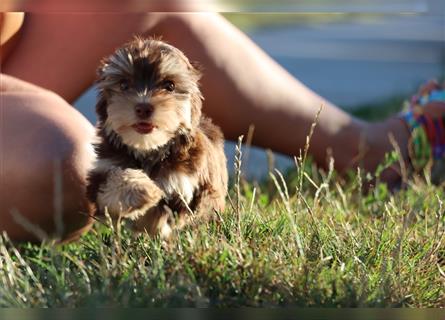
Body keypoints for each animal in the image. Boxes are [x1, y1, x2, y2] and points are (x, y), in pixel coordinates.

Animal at [85, 37, 227, 238]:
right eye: (123, 85)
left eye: (169, 86)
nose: (143, 108)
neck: (150, 149)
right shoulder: (104, 171)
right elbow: (113, 183)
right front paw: (142, 189)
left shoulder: (185, 184)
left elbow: (166, 217)